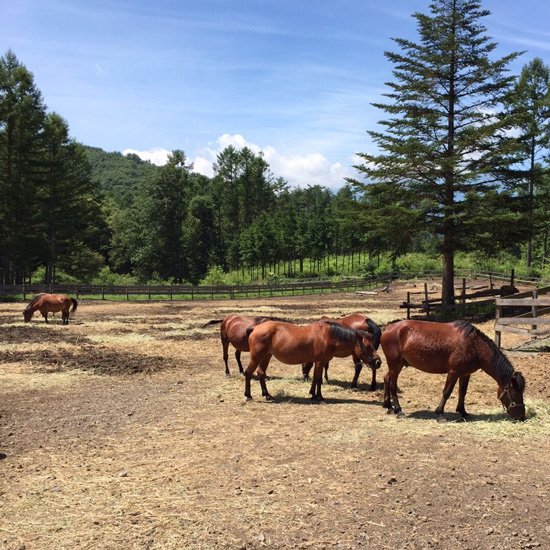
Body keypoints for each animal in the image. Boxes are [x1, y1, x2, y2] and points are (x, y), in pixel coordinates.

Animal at [247, 322, 382, 404]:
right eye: (367, 346)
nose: (378, 362)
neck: (327, 336)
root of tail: (255, 328)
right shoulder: (319, 361)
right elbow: (318, 379)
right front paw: (319, 397)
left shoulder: (319, 362)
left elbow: (316, 379)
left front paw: (313, 394)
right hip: (256, 357)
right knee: (248, 372)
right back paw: (248, 396)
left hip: (266, 356)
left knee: (261, 372)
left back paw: (267, 395)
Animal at [382, 320, 528, 422]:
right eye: (515, 392)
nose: (521, 416)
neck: (474, 346)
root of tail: (389, 328)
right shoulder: (453, 372)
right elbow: (447, 392)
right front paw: (440, 414)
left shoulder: (465, 374)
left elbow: (462, 393)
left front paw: (463, 412)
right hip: (395, 365)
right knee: (393, 385)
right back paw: (399, 411)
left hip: (397, 366)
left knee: (387, 379)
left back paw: (389, 407)